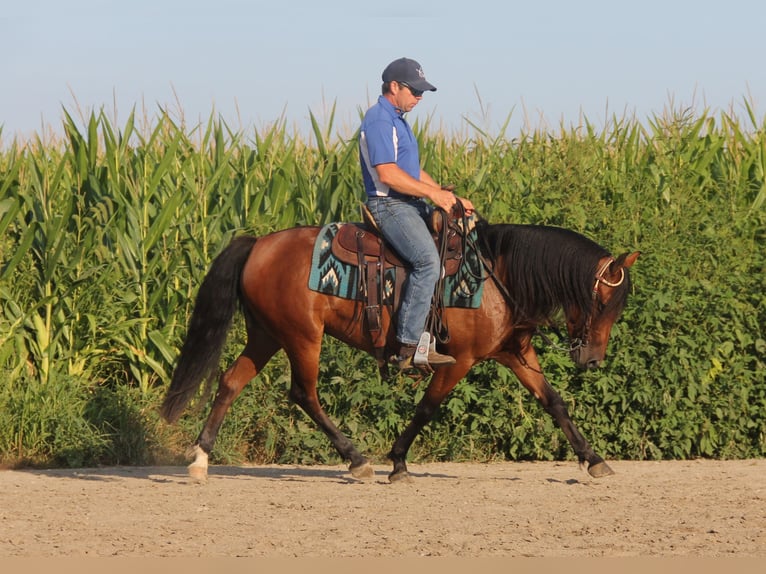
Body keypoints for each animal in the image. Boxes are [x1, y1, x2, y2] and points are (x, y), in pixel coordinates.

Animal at [159, 218, 640, 484]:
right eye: (604, 303)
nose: (592, 360)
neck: (494, 276)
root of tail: (258, 243)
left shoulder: (513, 352)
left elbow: (554, 402)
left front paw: (594, 459)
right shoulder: (458, 361)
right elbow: (427, 408)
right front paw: (398, 462)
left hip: (267, 335)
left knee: (230, 382)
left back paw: (200, 459)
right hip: (302, 337)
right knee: (303, 394)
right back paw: (357, 461)